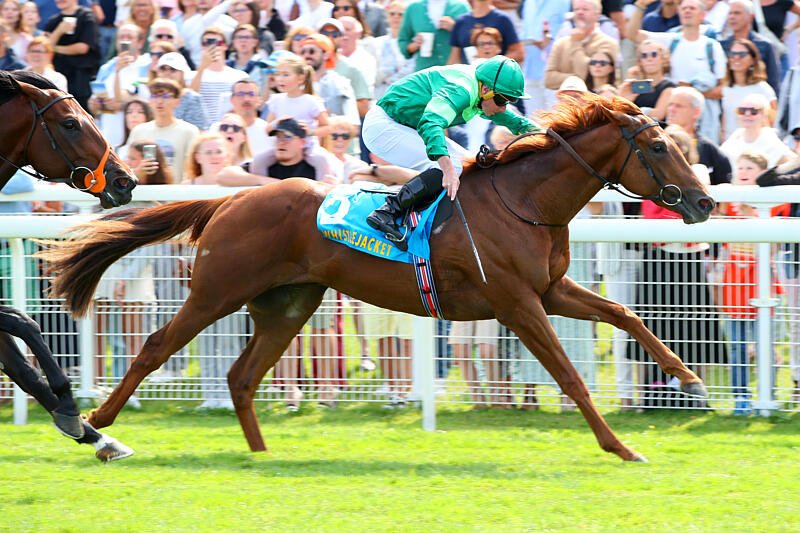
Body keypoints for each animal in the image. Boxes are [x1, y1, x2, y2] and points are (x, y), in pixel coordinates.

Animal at [0, 70, 136, 461]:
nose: (126, 180)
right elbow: (25, 323)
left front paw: (96, 435)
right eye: (70, 123)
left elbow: (22, 365)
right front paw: (69, 400)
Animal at [43, 94, 715, 462]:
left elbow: (623, 313)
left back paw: (261, 454)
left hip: (288, 304)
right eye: (659, 149)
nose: (705, 202)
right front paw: (622, 447)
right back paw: (99, 424)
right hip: (218, 291)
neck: (524, 200)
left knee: (241, 376)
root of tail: (229, 199)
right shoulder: (516, 302)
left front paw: (686, 376)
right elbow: (572, 377)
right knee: (157, 345)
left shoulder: (548, 291)